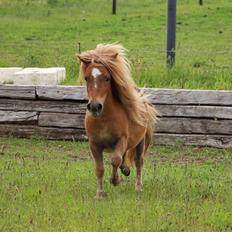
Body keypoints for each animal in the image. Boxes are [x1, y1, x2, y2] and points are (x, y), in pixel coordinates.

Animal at [78, 43, 158, 198]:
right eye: (86, 78)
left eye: (107, 78)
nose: (95, 106)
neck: (104, 120)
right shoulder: (94, 144)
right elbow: (99, 168)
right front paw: (99, 194)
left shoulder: (121, 140)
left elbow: (115, 160)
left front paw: (115, 180)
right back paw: (125, 170)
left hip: (140, 142)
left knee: (138, 161)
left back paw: (138, 187)